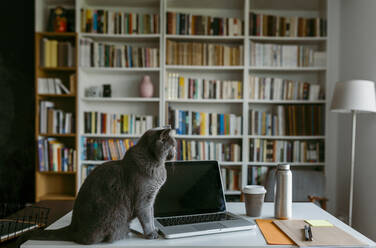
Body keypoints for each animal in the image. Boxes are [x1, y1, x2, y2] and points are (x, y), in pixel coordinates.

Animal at [30, 128, 176, 244]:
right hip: (117, 216)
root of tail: (72, 228)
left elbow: (151, 215)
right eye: (172, 146)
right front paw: (151, 233)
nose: (175, 153)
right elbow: (147, 218)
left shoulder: (151, 199)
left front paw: (154, 229)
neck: (157, 164)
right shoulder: (144, 199)